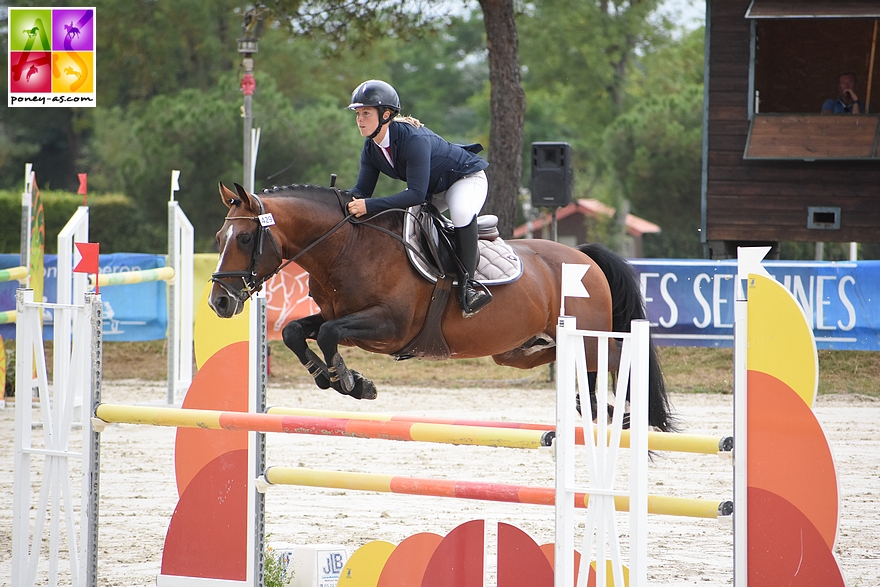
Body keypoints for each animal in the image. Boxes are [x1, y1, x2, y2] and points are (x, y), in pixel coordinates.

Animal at [210, 181, 676, 434]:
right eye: (218, 238)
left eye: (246, 239)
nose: (219, 301)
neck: (346, 247)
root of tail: (585, 257)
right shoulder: (335, 314)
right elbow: (296, 331)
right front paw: (330, 377)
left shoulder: (389, 327)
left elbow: (327, 334)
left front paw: (353, 382)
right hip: (518, 352)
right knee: (573, 373)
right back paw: (602, 410)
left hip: (593, 339)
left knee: (618, 358)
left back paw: (629, 414)